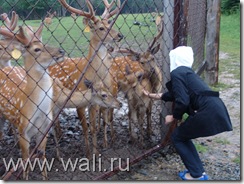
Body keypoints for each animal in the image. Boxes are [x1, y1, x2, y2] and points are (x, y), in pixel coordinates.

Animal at [48, 0, 123, 158]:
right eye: (101, 28)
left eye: (110, 24)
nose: (120, 35)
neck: (92, 75)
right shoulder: (79, 103)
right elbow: (84, 128)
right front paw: (88, 153)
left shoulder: (93, 102)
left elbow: (93, 127)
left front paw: (96, 151)